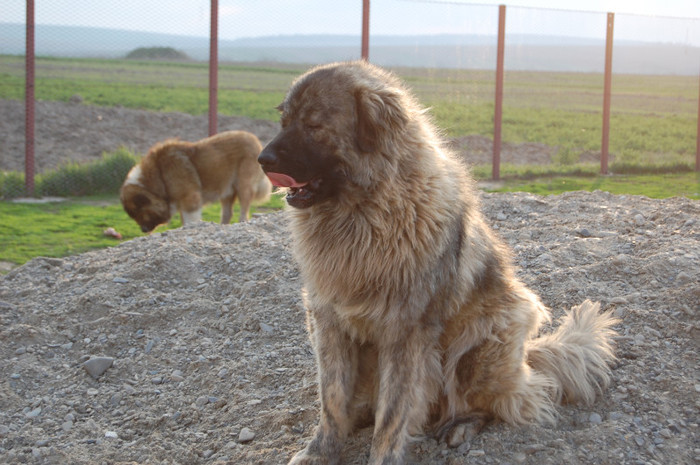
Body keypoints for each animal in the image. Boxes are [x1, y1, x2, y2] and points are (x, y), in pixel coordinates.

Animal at [120, 129, 270, 232]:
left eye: (139, 212)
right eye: (133, 215)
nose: (143, 230)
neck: (159, 174)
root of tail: (254, 139)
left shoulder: (190, 200)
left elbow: (190, 220)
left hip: (243, 186)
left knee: (244, 211)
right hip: (226, 190)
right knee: (227, 213)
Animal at [258, 62, 616, 464]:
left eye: (314, 126)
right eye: (285, 121)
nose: (262, 160)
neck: (364, 214)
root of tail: (528, 357)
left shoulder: (406, 332)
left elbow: (393, 416)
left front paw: (383, 454)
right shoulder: (328, 321)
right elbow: (332, 400)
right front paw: (321, 451)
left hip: (478, 344)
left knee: (504, 402)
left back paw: (461, 425)